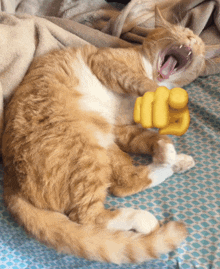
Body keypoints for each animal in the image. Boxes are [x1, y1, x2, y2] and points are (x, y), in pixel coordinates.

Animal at [1, 7, 205, 264]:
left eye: (199, 42)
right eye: (178, 30)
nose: (191, 38)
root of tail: (11, 181)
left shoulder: (122, 129)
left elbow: (149, 138)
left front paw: (164, 148)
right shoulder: (106, 62)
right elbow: (141, 82)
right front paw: (160, 98)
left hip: (104, 143)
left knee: (124, 182)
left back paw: (176, 161)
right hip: (87, 149)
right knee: (90, 214)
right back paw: (143, 215)